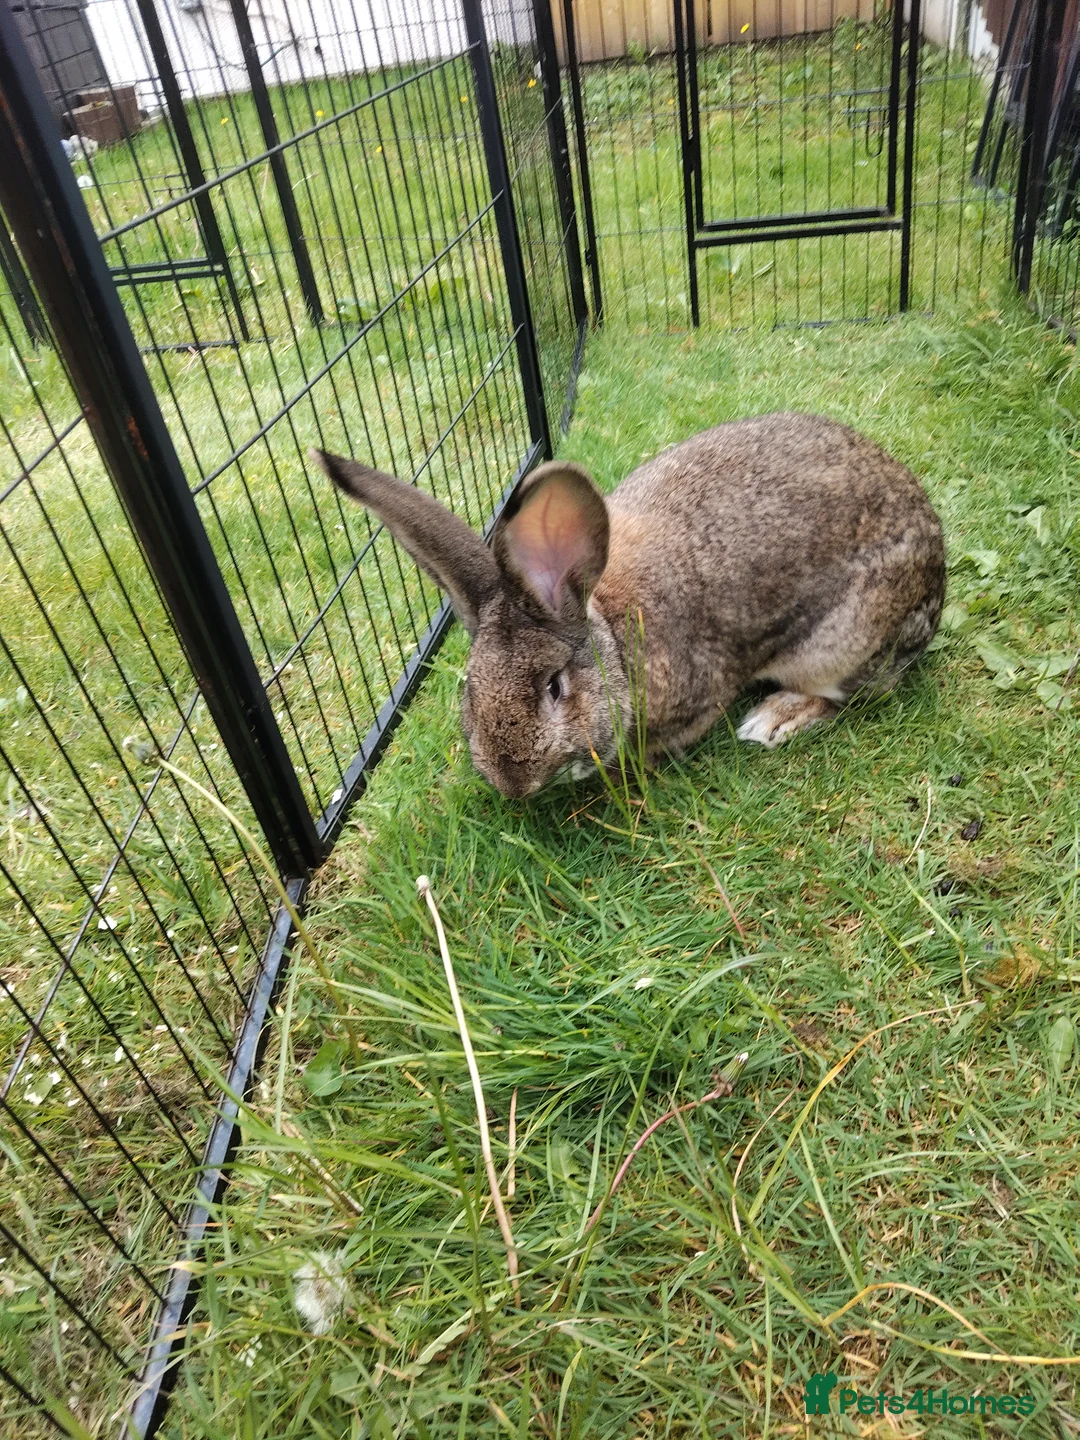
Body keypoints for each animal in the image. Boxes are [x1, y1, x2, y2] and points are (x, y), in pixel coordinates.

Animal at [310, 411, 944, 798]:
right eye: (468, 687)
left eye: (554, 688)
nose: (512, 784)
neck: (611, 633)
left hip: (841, 642)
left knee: (853, 694)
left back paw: (774, 719)